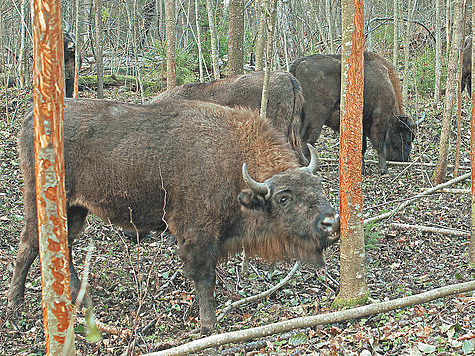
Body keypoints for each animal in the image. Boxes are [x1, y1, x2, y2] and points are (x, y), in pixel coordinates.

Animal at [8, 98, 342, 334]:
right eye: (284, 198)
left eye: (318, 186)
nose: (331, 222)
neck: (231, 159)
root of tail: (30, 119)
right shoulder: (197, 233)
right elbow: (204, 276)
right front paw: (208, 324)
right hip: (43, 203)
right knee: (29, 246)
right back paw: (16, 306)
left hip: (76, 210)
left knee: (62, 247)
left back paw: (82, 301)